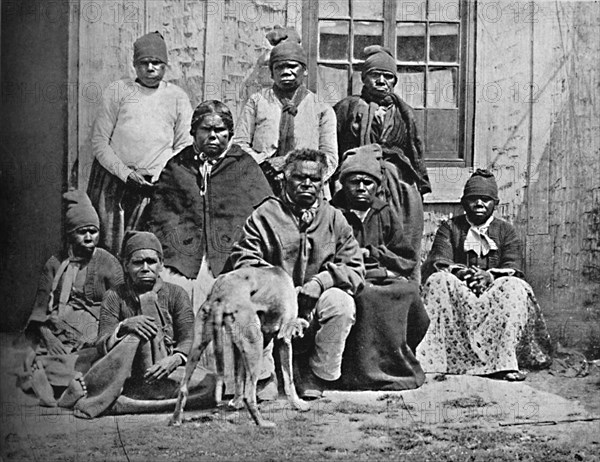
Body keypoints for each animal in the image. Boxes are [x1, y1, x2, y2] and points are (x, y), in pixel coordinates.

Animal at [169, 266, 310, 428]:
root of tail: (221, 293)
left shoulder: (237, 347)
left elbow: (238, 377)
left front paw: (236, 403)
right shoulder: (284, 339)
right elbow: (289, 379)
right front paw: (298, 404)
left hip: (197, 347)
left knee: (183, 388)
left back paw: (176, 420)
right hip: (255, 347)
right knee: (249, 396)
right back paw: (262, 423)